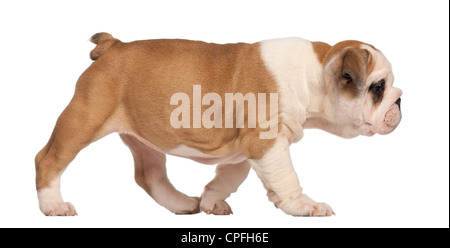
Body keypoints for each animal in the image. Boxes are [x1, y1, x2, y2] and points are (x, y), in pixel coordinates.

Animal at [34, 33, 400, 217]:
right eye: (378, 87)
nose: (399, 99)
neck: (316, 72)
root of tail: (113, 45)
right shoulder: (265, 142)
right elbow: (286, 179)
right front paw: (302, 206)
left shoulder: (247, 149)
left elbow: (228, 177)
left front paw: (211, 201)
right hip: (85, 117)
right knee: (49, 159)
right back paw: (53, 205)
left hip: (145, 137)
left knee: (150, 174)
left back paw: (183, 204)